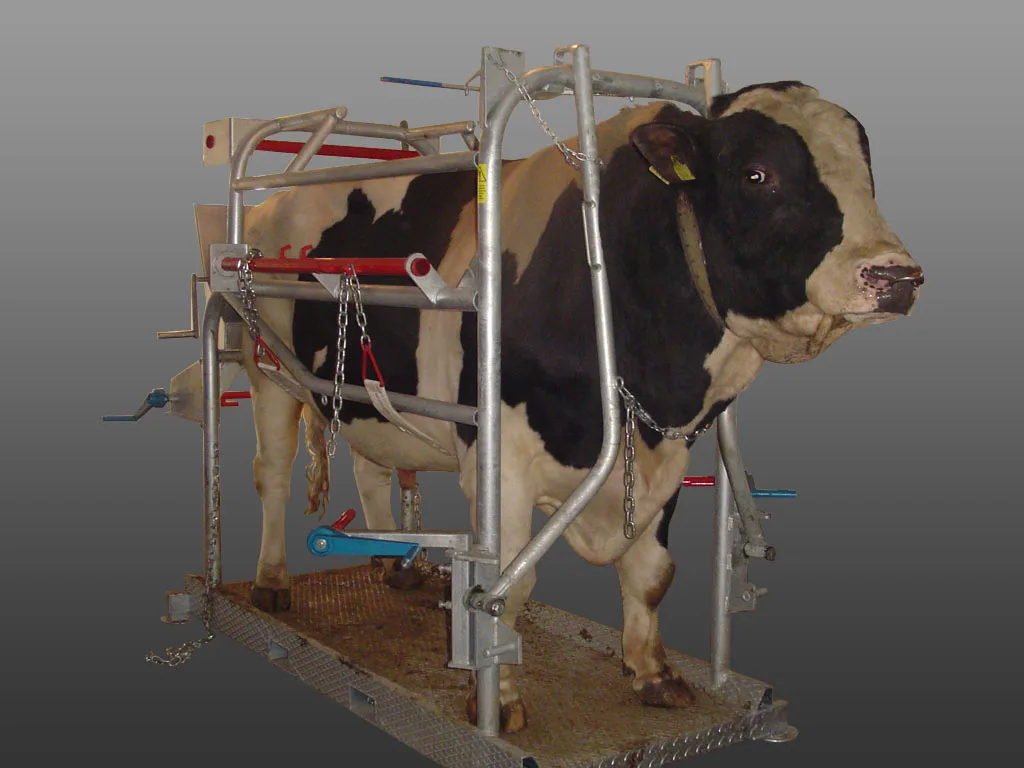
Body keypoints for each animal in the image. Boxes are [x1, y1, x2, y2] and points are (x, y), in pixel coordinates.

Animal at [237, 81, 922, 734]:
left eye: (866, 172)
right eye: (757, 174)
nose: (897, 277)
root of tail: (270, 199)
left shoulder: (663, 446)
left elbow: (653, 571)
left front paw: (653, 674)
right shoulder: (500, 461)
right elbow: (507, 589)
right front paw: (498, 704)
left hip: (364, 395)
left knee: (372, 465)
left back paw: (389, 562)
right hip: (266, 367)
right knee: (271, 475)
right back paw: (271, 581)